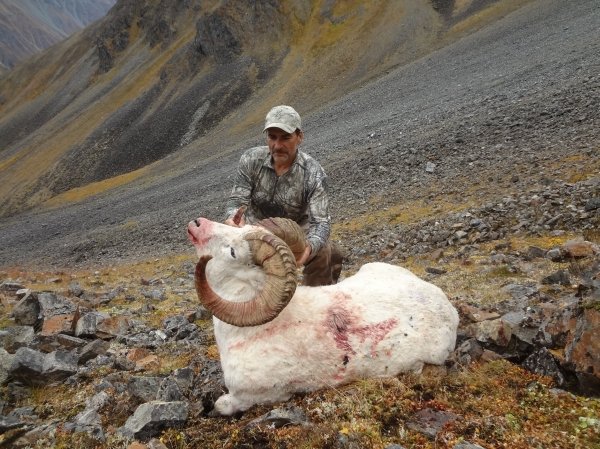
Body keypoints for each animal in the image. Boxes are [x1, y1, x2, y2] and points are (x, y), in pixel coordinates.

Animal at [188, 215, 460, 414]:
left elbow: (221, 405)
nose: (197, 224)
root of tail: (448, 308)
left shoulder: (247, 396)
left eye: (232, 252)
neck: (246, 332)